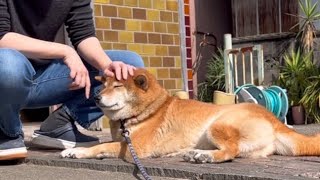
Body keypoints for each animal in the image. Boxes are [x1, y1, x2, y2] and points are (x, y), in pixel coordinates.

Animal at [60, 68, 320, 163]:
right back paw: (191, 152)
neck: (148, 111)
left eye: (117, 86)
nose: (96, 97)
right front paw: (76, 149)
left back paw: (206, 157)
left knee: (230, 152)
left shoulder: (135, 147)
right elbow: (103, 143)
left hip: (218, 125)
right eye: (104, 85)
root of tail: (274, 120)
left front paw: (79, 152)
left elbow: (102, 146)